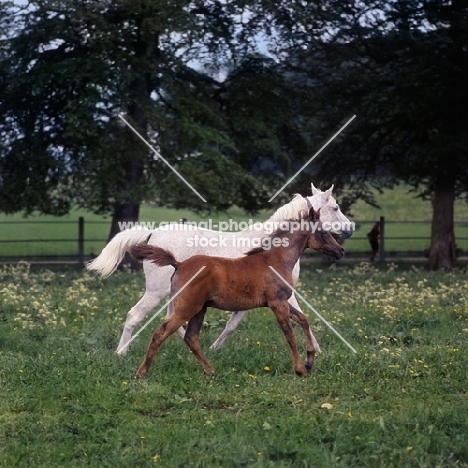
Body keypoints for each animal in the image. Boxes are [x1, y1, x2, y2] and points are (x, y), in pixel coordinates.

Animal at [88, 183, 352, 354]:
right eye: (336, 208)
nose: (350, 229)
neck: (273, 246)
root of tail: (152, 234)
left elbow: (232, 324)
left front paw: (215, 348)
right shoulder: (283, 293)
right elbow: (300, 317)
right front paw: (317, 349)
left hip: (175, 292)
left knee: (171, 320)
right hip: (156, 291)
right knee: (135, 315)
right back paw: (121, 353)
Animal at [128, 207, 344, 376]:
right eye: (323, 231)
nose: (340, 251)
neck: (276, 260)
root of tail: (178, 264)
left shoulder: (280, 302)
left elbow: (303, 319)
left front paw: (310, 361)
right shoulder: (278, 303)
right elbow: (290, 335)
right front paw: (300, 370)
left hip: (199, 309)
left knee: (191, 337)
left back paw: (210, 370)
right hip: (187, 308)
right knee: (160, 332)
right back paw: (141, 372)